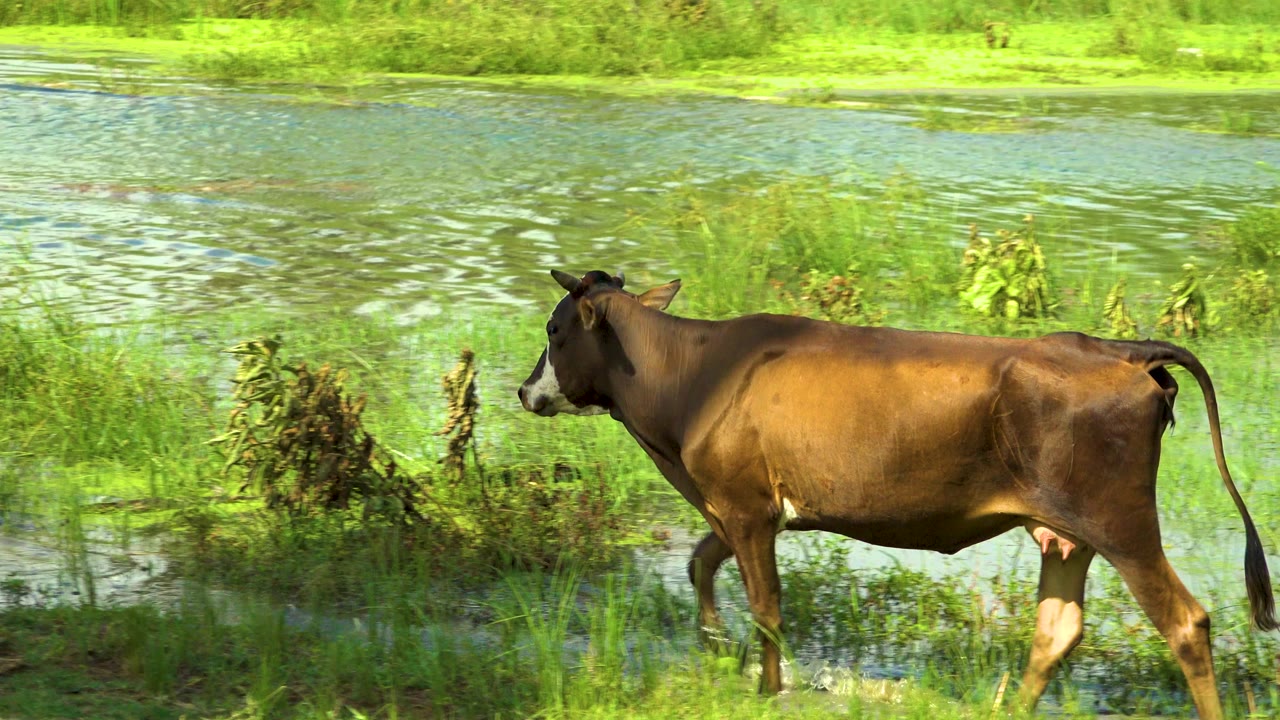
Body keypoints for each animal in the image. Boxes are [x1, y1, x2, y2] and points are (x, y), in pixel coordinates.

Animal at [517, 269, 1276, 719]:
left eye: (554, 329)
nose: (526, 391)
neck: (690, 383)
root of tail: (1121, 349)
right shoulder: (746, 507)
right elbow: (702, 562)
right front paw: (712, 644)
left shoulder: (744, 505)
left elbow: (766, 607)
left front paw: (766, 688)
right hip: (1067, 529)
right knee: (1058, 627)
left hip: (1121, 521)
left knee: (1185, 623)